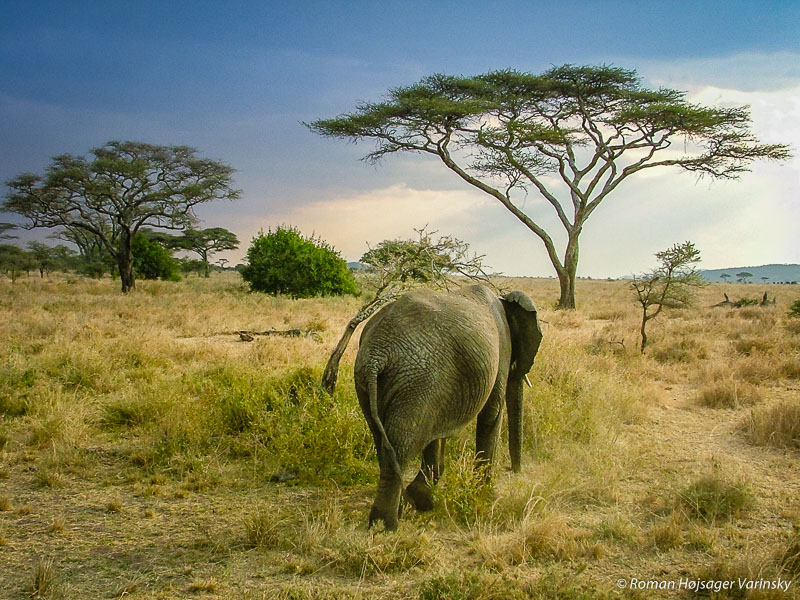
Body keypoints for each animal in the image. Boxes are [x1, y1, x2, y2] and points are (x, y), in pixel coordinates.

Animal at [356, 284, 544, 528]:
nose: (514, 471)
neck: (505, 301)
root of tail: (377, 353)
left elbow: (438, 431)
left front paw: (422, 499)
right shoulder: (503, 347)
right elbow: (492, 414)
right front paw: (484, 495)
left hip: (375, 383)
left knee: (384, 442)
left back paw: (397, 512)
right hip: (418, 382)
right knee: (401, 444)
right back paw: (386, 525)